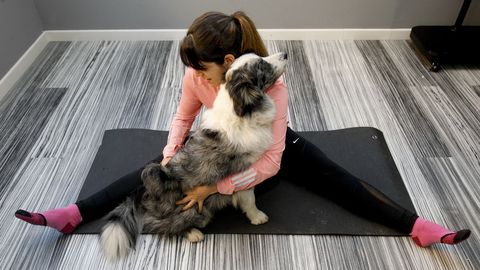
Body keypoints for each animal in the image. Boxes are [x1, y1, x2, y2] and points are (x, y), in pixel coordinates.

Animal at [100, 52, 286, 260]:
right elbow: (249, 200)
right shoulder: (244, 168)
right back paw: (193, 233)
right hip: (192, 212)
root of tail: (146, 194)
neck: (241, 110)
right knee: (158, 226)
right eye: (261, 64)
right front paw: (258, 217)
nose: (285, 55)